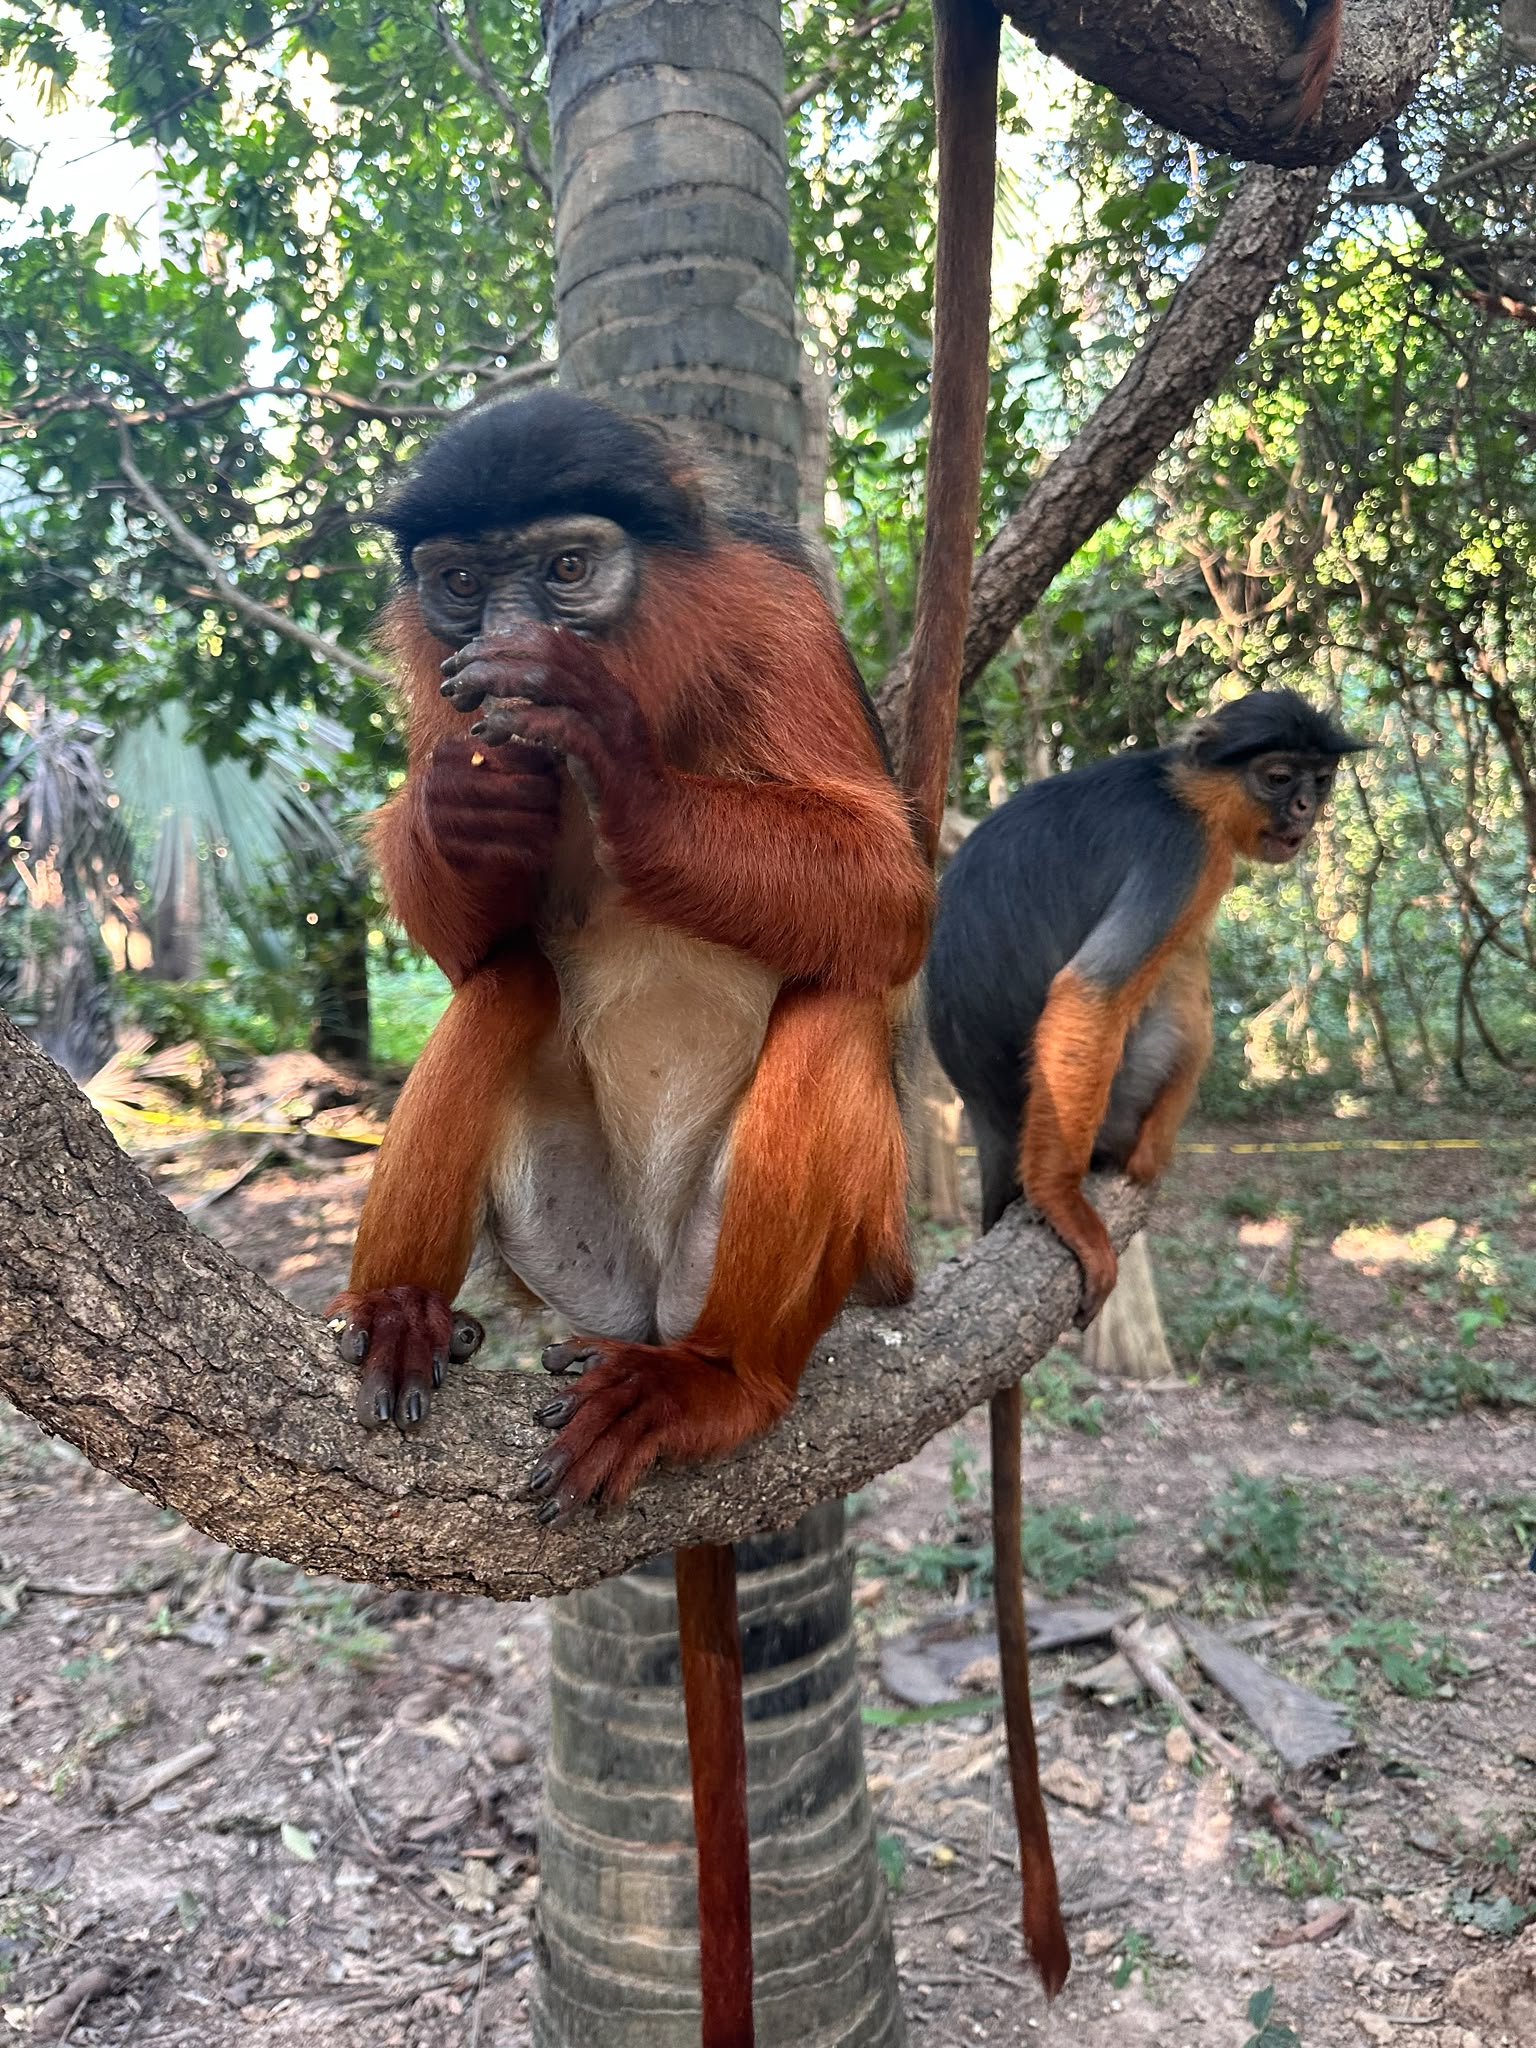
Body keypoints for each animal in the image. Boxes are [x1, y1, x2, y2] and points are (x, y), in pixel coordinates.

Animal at [325, 387, 933, 2047]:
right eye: (462, 584)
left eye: (566, 569)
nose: (500, 642)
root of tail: (659, 1300)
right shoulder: (439, 684)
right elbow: (467, 929)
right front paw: (464, 797)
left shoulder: (780, 614)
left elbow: (893, 892)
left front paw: (611, 749)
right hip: (574, 1256)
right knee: (506, 983)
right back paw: (405, 1316)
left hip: (786, 1257)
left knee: (837, 1005)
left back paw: (715, 1388)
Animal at [924, 689, 1369, 1321]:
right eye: (1279, 778)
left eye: (1321, 780)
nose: (1306, 807)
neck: (1176, 789)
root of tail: (991, 1125)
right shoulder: (1184, 852)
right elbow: (1091, 991)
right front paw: (1061, 1203)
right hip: (1120, 1097)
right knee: (1180, 987)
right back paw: (1142, 1155)